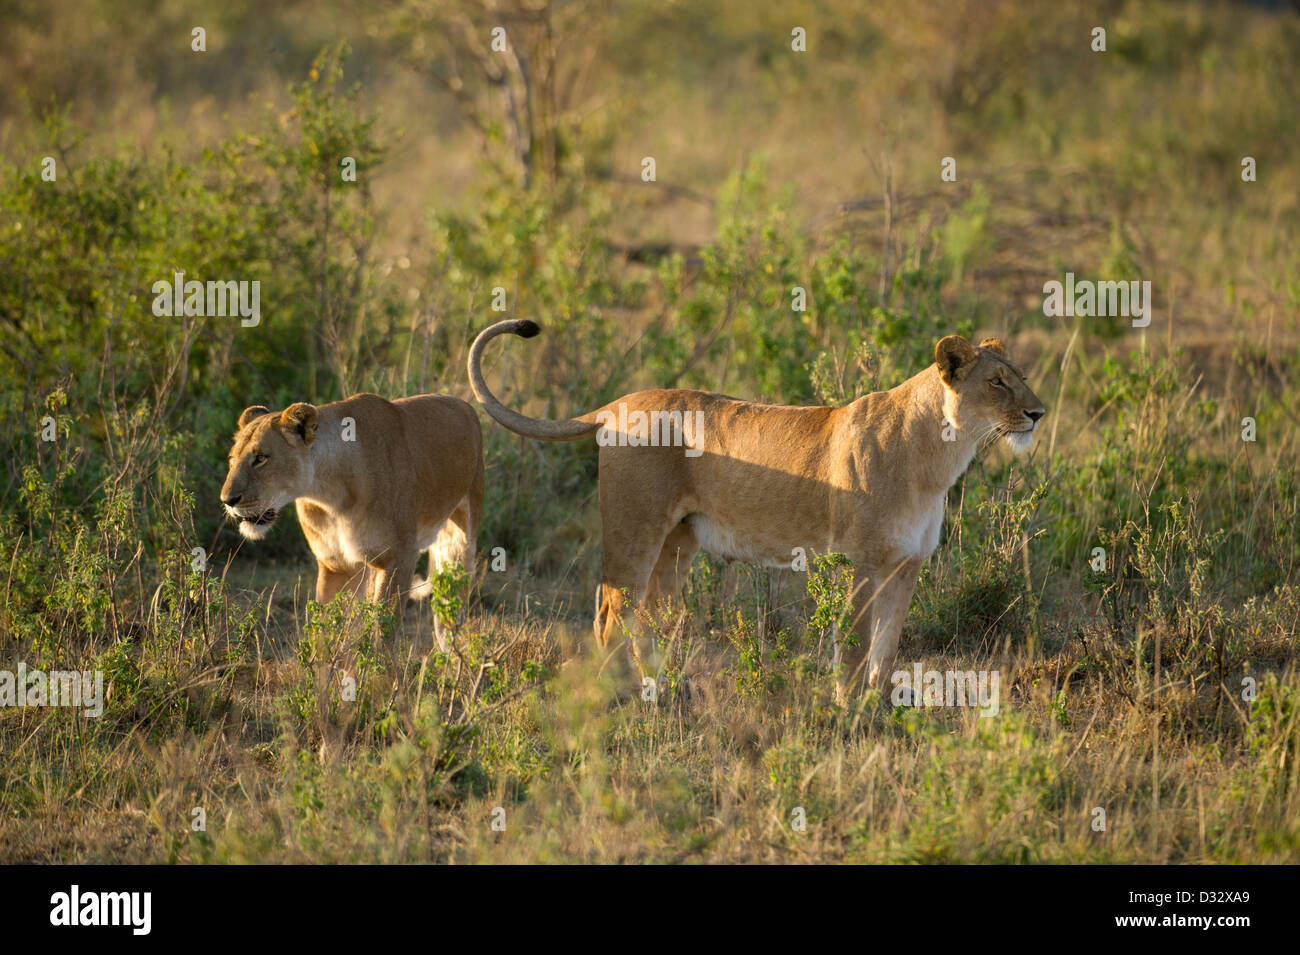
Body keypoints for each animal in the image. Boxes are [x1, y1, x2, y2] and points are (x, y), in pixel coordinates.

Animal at [219, 393, 484, 646]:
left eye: (261, 458)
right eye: (232, 459)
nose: (227, 500)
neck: (329, 495)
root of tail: (462, 403)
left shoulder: (401, 557)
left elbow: (382, 638)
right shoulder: (337, 565)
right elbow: (325, 637)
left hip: (459, 547)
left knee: (449, 622)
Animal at [468, 319, 1045, 698]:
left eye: (1020, 375)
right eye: (997, 382)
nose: (1038, 413)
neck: (939, 458)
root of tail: (619, 402)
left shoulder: (907, 566)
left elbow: (887, 648)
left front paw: (878, 709)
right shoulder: (859, 562)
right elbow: (856, 647)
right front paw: (848, 712)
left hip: (677, 543)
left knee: (648, 617)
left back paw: (664, 692)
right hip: (636, 530)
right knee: (612, 616)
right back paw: (631, 697)